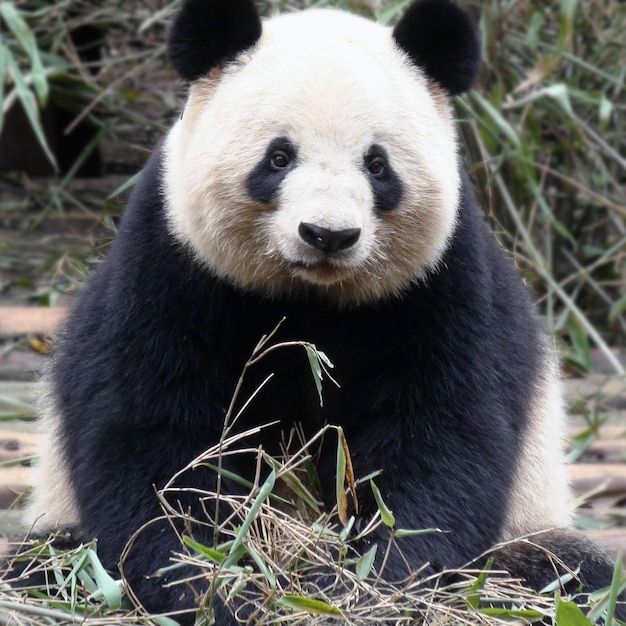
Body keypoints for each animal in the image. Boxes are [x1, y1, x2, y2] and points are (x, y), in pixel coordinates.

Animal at [22, 0, 620, 620]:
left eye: (377, 165)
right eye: (279, 157)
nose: (328, 235)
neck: (311, 294)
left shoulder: (441, 281)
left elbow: (442, 437)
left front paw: (364, 584)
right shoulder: (171, 263)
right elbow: (158, 439)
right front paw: (219, 584)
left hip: (525, 530)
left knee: (571, 574)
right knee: (44, 564)